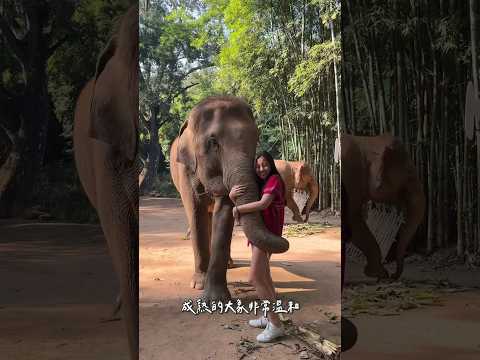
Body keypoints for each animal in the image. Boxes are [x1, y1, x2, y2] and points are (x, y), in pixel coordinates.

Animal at [169, 96, 288, 300]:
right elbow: (196, 213)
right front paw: (199, 284)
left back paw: (231, 264)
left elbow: (224, 214)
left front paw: (217, 298)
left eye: (256, 137)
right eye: (213, 142)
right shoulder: (185, 169)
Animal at [340, 134, 426, 280]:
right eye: (409, 176)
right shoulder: (351, 178)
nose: (393, 275)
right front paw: (380, 273)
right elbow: (354, 221)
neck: (367, 141)